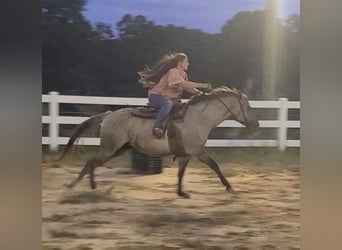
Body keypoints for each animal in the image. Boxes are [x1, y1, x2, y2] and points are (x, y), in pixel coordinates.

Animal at [58, 87, 260, 198]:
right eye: (249, 107)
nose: (256, 124)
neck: (201, 117)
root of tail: (109, 114)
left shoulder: (187, 155)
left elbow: (181, 173)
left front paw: (181, 192)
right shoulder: (197, 151)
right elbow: (215, 166)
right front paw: (229, 187)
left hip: (118, 149)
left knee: (92, 162)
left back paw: (87, 185)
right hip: (110, 148)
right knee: (91, 162)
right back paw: (77, 185)